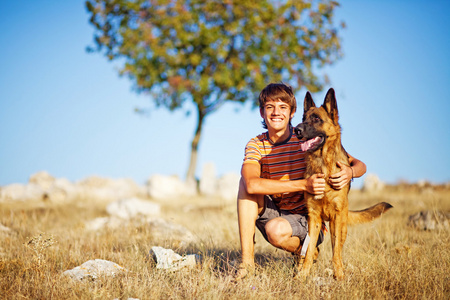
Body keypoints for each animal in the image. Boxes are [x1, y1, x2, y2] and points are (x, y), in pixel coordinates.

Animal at [294, 88, 392, 280]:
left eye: (316, 119)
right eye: (303, 118)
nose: (296, 129)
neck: (323, 165)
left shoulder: (337, 217)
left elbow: (336, 252)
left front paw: (339, 275)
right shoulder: (313, 218)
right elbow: (308, 251)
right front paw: (303, 275)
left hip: (340, 225)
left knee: (337, 247)